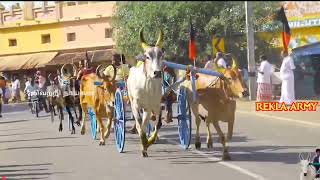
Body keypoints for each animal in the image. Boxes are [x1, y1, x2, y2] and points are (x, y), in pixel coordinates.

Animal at [126, 27, 164, 158]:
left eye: (161, 55)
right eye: (147, 56)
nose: (157, 73)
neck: (148, 88)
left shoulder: (156, 106)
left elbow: (158, 124)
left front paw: (149, 142)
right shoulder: (135, 105)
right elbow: (138, 123)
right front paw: (144, 143)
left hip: (147, 109)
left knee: (144, 122)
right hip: (133, 102)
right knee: (139, 124)